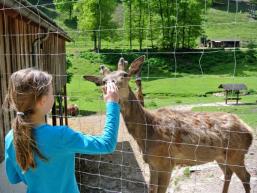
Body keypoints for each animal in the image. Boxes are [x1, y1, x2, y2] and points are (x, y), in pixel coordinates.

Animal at [83, 55, 252, 193]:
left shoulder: (167, 162)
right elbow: (151, 189)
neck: (148, 132)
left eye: (125, 75)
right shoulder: (152, 163)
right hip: (222, 156)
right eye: (103, 81)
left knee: (246, 177)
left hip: (236, 154)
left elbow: (160, 190)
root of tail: (249, 131)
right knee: (228, 173)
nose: (109, 88)